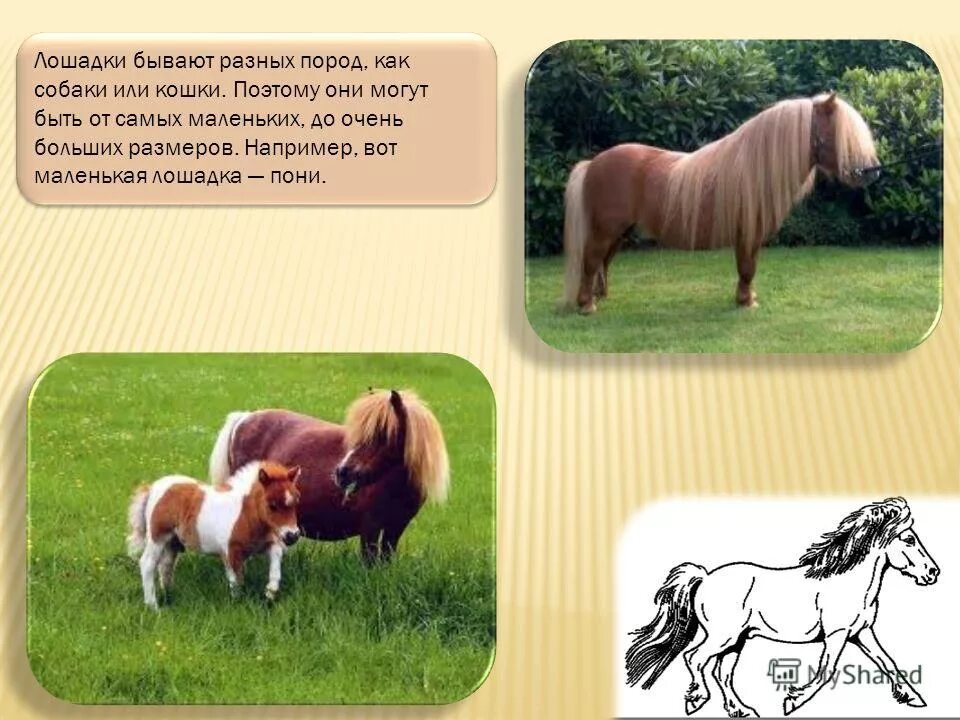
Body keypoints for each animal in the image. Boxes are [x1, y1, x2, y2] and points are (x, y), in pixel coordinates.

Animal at [126, 461, 301, 609]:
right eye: (272, 505)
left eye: (295, 502)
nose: (292, 536)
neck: (245, 514)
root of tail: (153, 487)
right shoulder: (230, 552)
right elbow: (236, 581)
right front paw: (238, 605)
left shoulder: (265, 544)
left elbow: (276, 558)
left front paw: (270, 592)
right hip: (158, 537)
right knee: (147, 563)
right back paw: (153, 606)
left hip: (172, 542)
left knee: (166, 566)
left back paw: (168, 595)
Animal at [561, 92, 880, 313]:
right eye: (839, 134)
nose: (872, 171)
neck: (756, 167)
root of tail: (593, 163)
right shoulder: (747, 234)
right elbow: (746, 268)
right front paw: (745, 302)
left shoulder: (752, 236)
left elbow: (749, 267)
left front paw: (747, 298)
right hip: (605, 231)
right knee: (591, 261)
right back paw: (587, 306)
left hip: (618, 233)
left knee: (603, 263)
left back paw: (600, 297)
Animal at [624, 497, 938, 717]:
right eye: (909, 539)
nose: (933, 573)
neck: (849, 582)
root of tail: (705, 577)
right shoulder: (836, 635)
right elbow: (826, 672)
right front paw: (792, 701)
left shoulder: (861, 633)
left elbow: (888, 662)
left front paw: (913, 698)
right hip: (723, 636)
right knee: (695, 658)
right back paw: (696, 699)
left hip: (737, 641)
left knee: (722, 673)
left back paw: (741, 710)